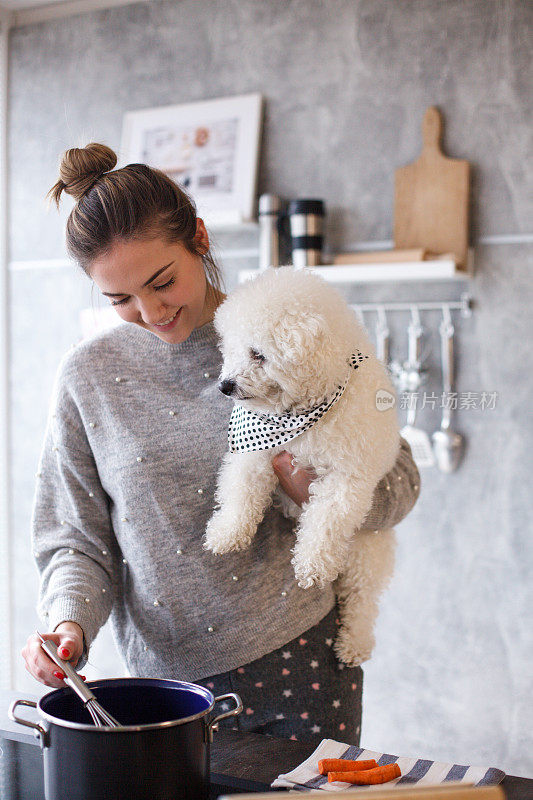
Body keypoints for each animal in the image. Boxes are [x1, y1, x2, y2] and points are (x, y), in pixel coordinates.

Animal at [204, 266, 400, 664]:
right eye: (230, 349)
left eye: (258, 354)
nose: (224, 385)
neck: (302, 412)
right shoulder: (255, 451)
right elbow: (241, 491)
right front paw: (227, 533)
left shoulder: (347, 477)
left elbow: (325, 521)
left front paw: (312, 565)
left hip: (366, 552)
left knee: (362, 601)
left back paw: (353, 643)